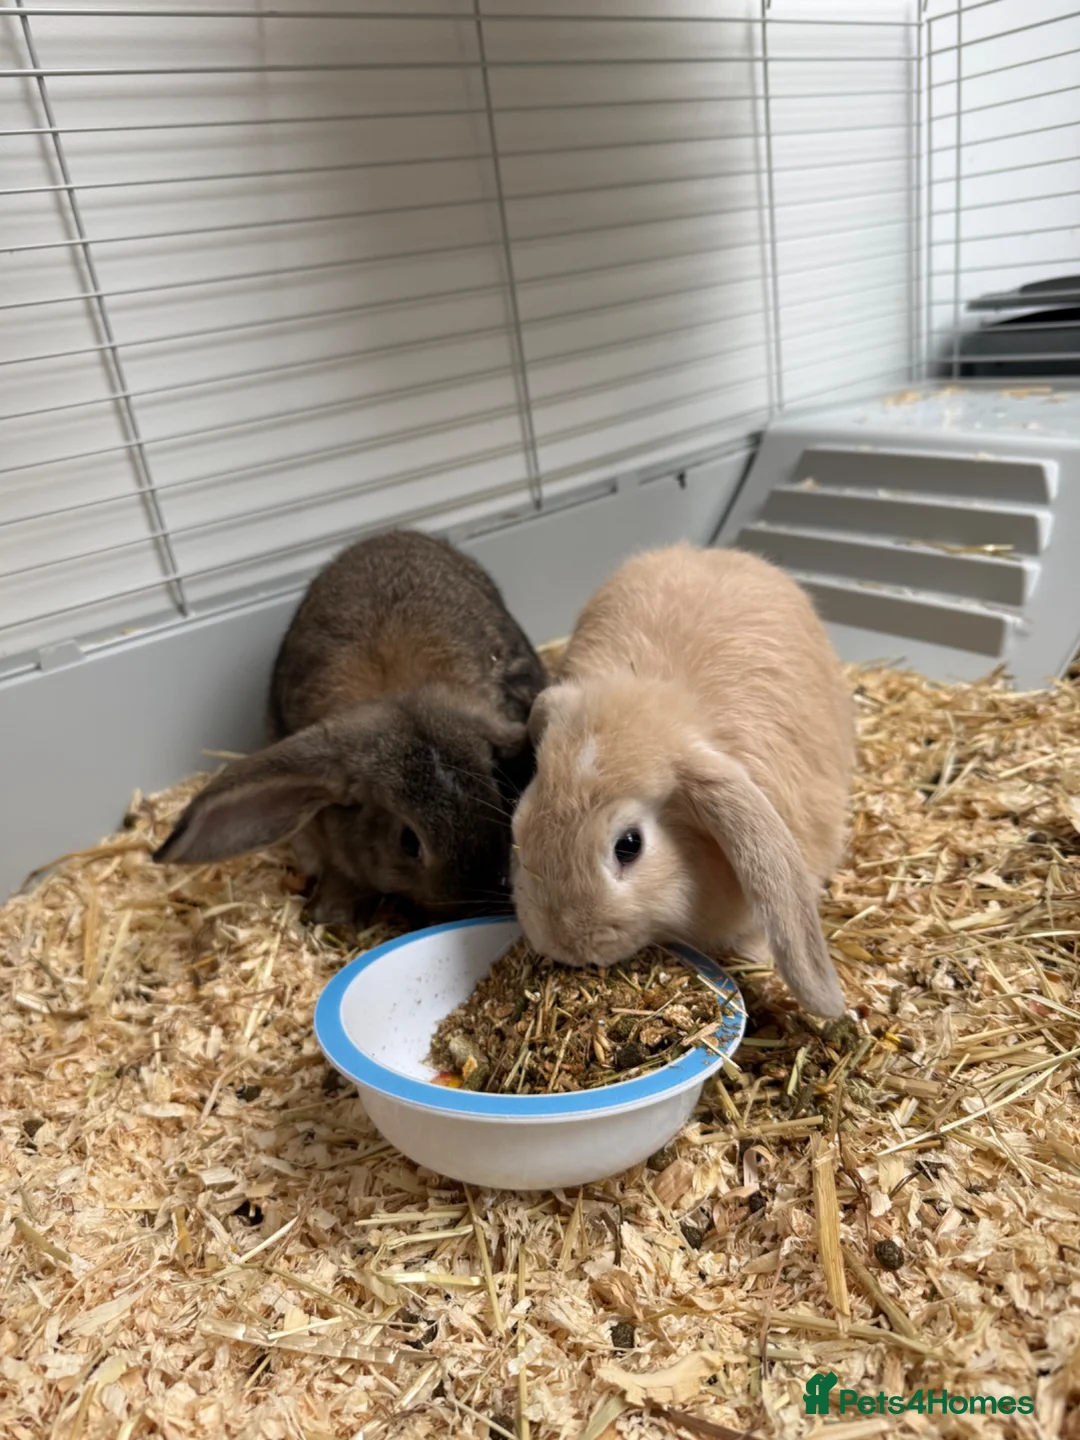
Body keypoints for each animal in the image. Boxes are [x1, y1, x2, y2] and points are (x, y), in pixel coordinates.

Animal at [154, 529, 548, 925]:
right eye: (408, 842)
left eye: (500, 796)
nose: (475, 903)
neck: (397, 693)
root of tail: (393, 533)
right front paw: (333, 911)